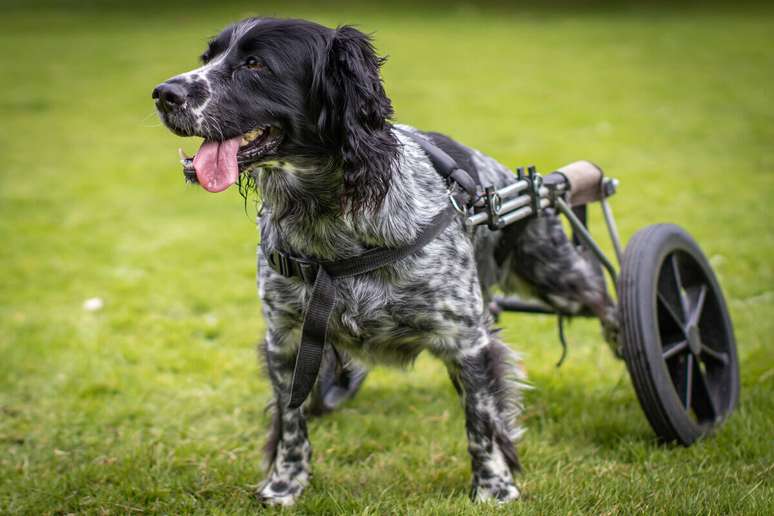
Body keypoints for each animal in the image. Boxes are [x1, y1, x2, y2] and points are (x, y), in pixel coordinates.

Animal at [155, 16, 620, 504]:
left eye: (255, 64)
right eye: (208, 57)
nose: (163, 94)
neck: (329, 221)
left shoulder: (466, 340)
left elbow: (482, 420)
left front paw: (494, 488)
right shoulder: (285, 340)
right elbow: (291, 421)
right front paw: (284, 486)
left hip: (556, 273)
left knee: (606, 298)